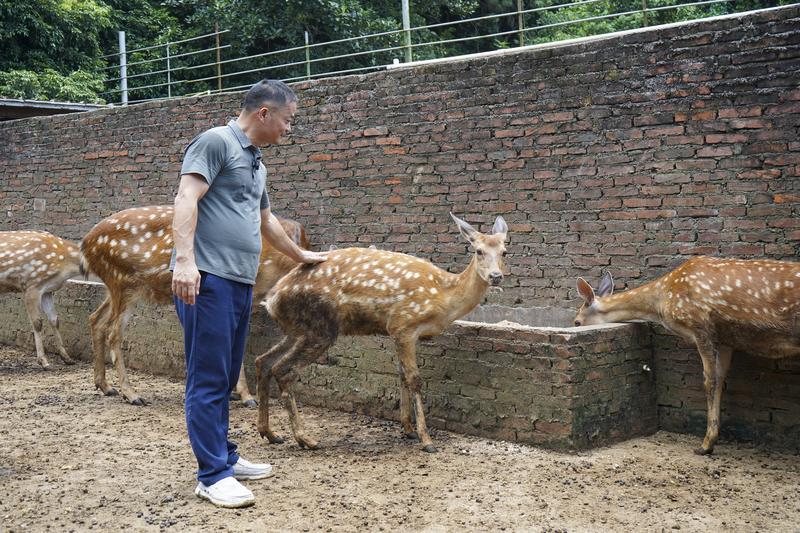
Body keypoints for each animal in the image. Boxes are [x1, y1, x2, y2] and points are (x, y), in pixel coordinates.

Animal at [0, 230, 84, 368]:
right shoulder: (31, 286)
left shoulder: (47, 290)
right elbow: (37, 322)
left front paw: (67, 358)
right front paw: (43, 361)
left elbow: (54, 320)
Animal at [80, 205, 309, 407]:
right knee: (113, 333)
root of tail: (85, 245)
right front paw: (246, 397)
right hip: (122, 280)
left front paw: (235, 393)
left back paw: (105, 386)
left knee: (96, 319)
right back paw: (132, 394)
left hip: (119, 287)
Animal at [255, 213, 508, 453]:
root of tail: (272, 298)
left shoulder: (397, 332)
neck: (444, 298)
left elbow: (402, 374)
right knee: (284, 371)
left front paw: (408, 429)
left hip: (298, 330)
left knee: (263, 361)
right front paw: (426, 439)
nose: (496, 276)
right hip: (320, 327)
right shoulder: (404, 325)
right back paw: (305, 439)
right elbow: (415, 379)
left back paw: (270, 433)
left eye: (504, 251)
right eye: (479, 251)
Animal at [574, 256, 800, 455]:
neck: (661, 301)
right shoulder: (725, 340)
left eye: (576, 322)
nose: (573, 324)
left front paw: (705, 445)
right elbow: (721, 380)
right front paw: (711, 440)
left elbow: (709, 381)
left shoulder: (700, 325)